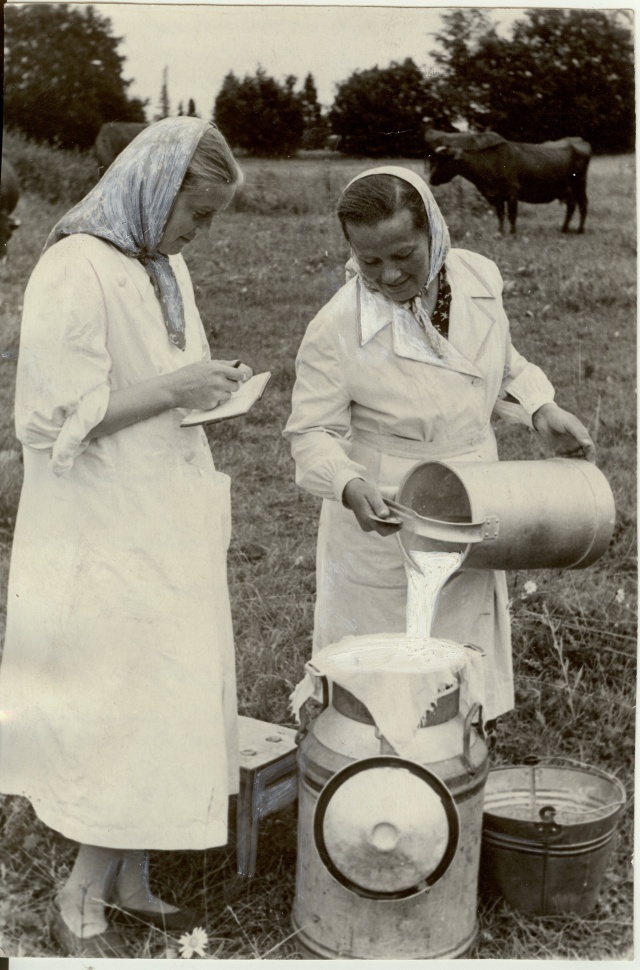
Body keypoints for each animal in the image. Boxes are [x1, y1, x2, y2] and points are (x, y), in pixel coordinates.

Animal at [422, 129, 592, 234]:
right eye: (434, 160)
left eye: (444, 160)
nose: (431, 179)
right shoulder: (496, 195)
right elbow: (501, 215)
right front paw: (500, 232)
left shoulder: (512, 192)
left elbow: (512, 215)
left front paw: (512, 233)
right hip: (569, 189)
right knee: (571, 206)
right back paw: (564, 228)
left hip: (579, 184)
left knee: (583, 205)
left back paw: (580, 229)